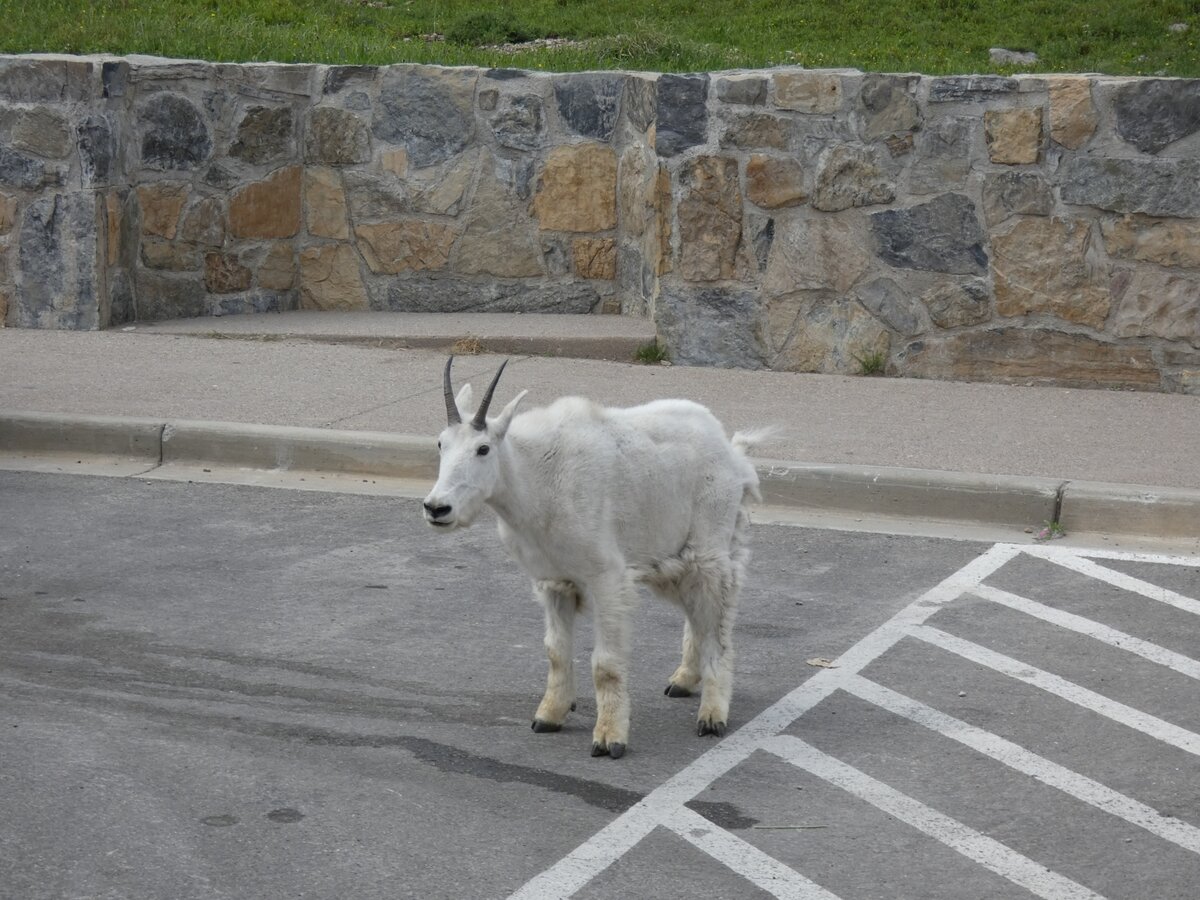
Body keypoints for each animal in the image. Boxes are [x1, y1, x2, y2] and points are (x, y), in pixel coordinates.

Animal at [422, 360, 758, 763]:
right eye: (441, 444)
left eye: (483, 448)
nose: (437, 508)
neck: (536, 481)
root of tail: (732, 452)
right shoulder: (553, 581)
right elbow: (555, 652)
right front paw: (549, 716)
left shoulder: (606, 579)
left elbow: (606, 664)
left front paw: (610, 738)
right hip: (671, 557)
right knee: (696, 614)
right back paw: (683, 680)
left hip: (709, 550)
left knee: (718, 623)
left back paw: (711, 715)